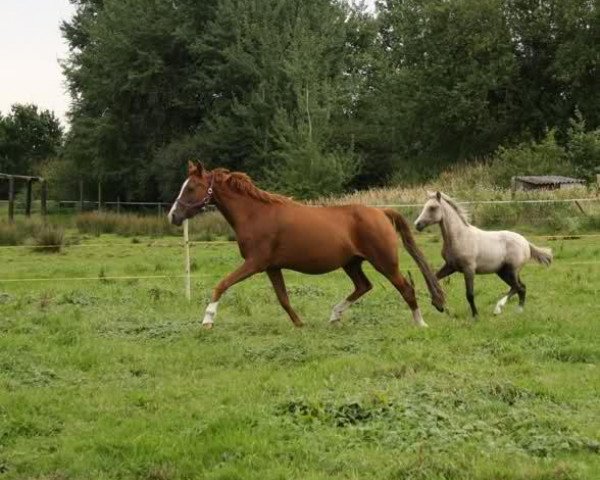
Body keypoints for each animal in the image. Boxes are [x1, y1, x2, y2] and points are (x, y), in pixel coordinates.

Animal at [166, 163, 442, 328]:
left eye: (191, 187)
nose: (173, 216)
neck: (255, 214)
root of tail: (381, 212)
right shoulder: (271, 267)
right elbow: (283, 299)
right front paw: (300, 325)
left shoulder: (255, 263)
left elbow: (221, 284)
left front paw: (207, 320)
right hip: (351, 263)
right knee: (364, 286)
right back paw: (334, 315)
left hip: (384, 261)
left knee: (406, 288)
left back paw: (420, 323)